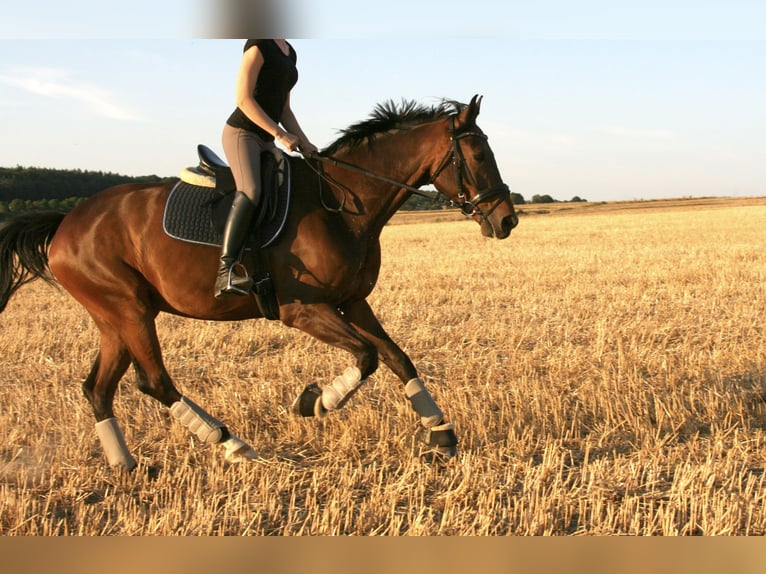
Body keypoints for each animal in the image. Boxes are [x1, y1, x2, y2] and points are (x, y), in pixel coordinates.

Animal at [0, 95, 520, 472]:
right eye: (477, 154)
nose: (507, 220)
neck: (341, 203)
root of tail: (67, 222)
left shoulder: (353, 302)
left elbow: (396, 357)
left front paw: (441, 432)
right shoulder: (302, 309)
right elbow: (366, 357)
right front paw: (314, 402)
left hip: (116, 318)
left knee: (98, 389)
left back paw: (125, 466)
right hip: (127, 309)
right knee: (154, 381)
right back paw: (231, 443)